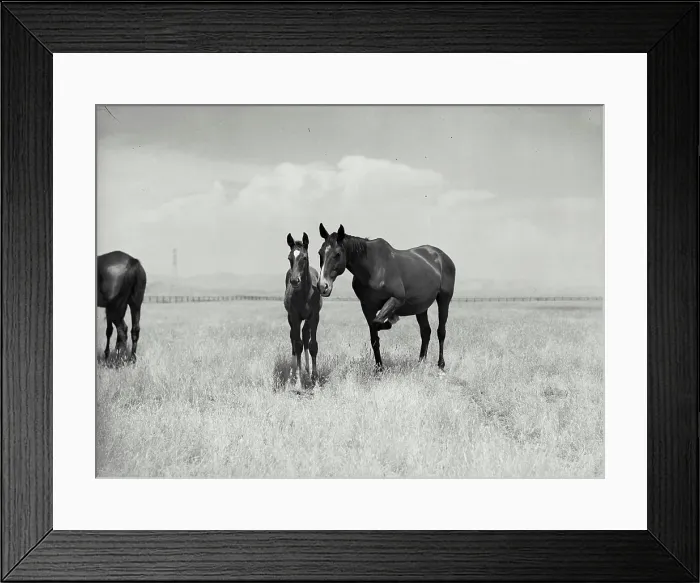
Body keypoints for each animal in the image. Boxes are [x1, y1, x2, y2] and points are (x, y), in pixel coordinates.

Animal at [284, 232, 323, 384]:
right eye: (289, 258)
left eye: (304, 257)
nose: (295, 281)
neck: (305, 294)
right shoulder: (295, 317)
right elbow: (298, 344)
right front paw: (298, 381)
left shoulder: (314, 316)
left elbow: (313, 345)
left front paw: (315, 379)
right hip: (291, 318)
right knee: (293, 338)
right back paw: (293, 372)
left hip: (307, 319)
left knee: (305, 334)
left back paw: (308, 369)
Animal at [317, 223, 456, 371]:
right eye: (320, 253)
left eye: (337, 254)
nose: (323, 286)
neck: (373, 268)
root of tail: (442, 256)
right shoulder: (367, 306)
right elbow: (374, 338)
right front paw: (379, 368)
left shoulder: (397, 299)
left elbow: (377, 322)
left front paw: (391, 320)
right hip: (421, 307)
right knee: (425, 332)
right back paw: (420, 363)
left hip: (444, 300)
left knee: (441, 332)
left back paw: (440, 364)